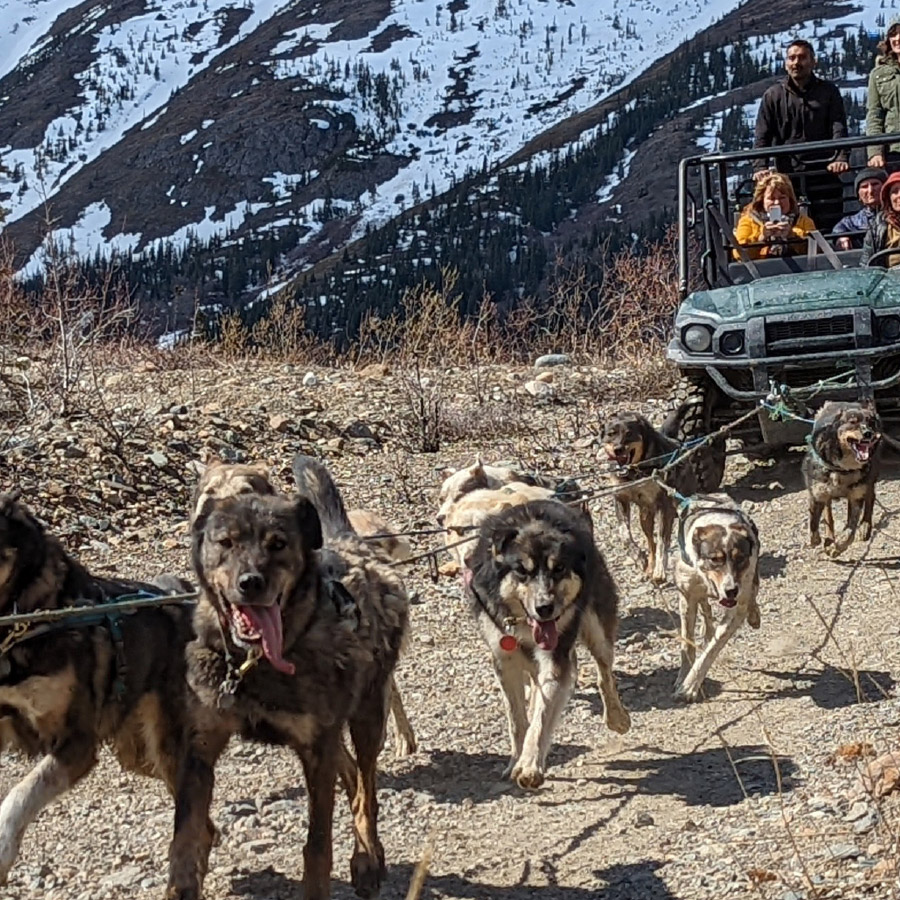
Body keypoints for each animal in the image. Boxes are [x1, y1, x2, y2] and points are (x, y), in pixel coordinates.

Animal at [165, 458, 408, 900]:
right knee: (351, 775)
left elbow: (318, 847)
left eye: (278, 543)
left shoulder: (316, 749)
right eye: (225, 542)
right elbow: (185, 836)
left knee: (366, 787)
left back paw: (366, 858)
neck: (254, 663)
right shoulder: (201, 745)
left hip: (366, 712)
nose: (250, 583)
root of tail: (351, 542)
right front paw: (183, 880)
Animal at [676, 500, 760, 704]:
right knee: (705, 607)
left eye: (740, 558)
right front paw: (683, 676)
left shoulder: (738, 603)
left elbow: (712, 649)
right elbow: (687, 642)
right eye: (715, 559)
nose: (731, 590)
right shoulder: (687, 594)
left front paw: (690, 685)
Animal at [800, 400, 880, 556]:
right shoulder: (817, 494)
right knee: (828, 514)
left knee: (870, 497)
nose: (868, 433)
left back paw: (865, 526)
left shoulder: (856, 496)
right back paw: (829, 536)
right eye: (852, 422)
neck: (843, 469)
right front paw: (816, 539)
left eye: (871, 422)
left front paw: (838, 546)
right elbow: (814, 522)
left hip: (869, 478)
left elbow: (850, 530)